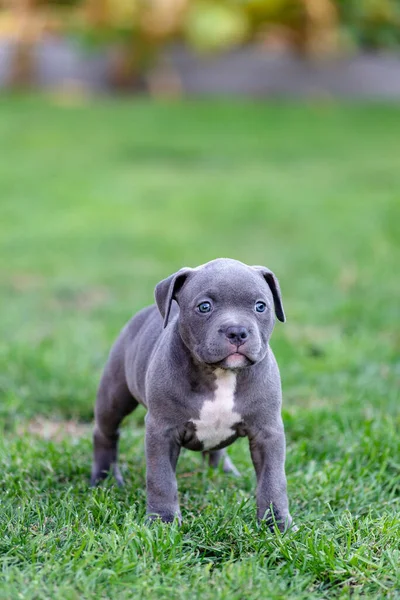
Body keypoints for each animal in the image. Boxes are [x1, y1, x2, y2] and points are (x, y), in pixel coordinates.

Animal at [92, 258, 292, 528]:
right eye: (204, 307)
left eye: (261, 306)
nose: (237, 331)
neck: (221, 373)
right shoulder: (161, 431)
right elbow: (161, 479)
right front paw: (163, 521)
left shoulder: (267, 432)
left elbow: (273, 480)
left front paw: (277, 524)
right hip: (115, 394)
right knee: (105, 432)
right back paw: (105, 479)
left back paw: (225, 473)